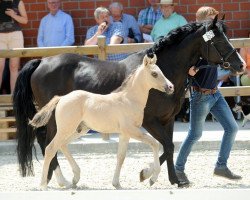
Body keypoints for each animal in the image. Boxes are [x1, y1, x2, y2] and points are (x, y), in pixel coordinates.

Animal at [13, 16, 244, 188]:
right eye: (219, 40)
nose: (240, 65)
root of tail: (41, 61)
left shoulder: (167, 120)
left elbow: (169, 147)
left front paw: (167, 178)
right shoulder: (150, 121)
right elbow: (166, 146)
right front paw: (152, 175)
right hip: (57, 120)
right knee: (48, 143)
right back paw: (60, 180)